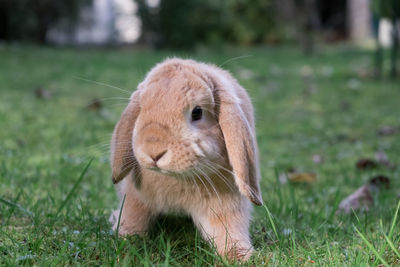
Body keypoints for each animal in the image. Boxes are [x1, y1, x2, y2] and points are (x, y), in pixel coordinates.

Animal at [109, 58, 262, 262]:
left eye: (197, 112)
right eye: (142, 109)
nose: (153, 151)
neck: (176, 178)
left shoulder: (226, 205)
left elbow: (227, 229)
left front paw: (238, 256)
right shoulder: (136, 198)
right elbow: (134, 217)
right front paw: (125, 237)